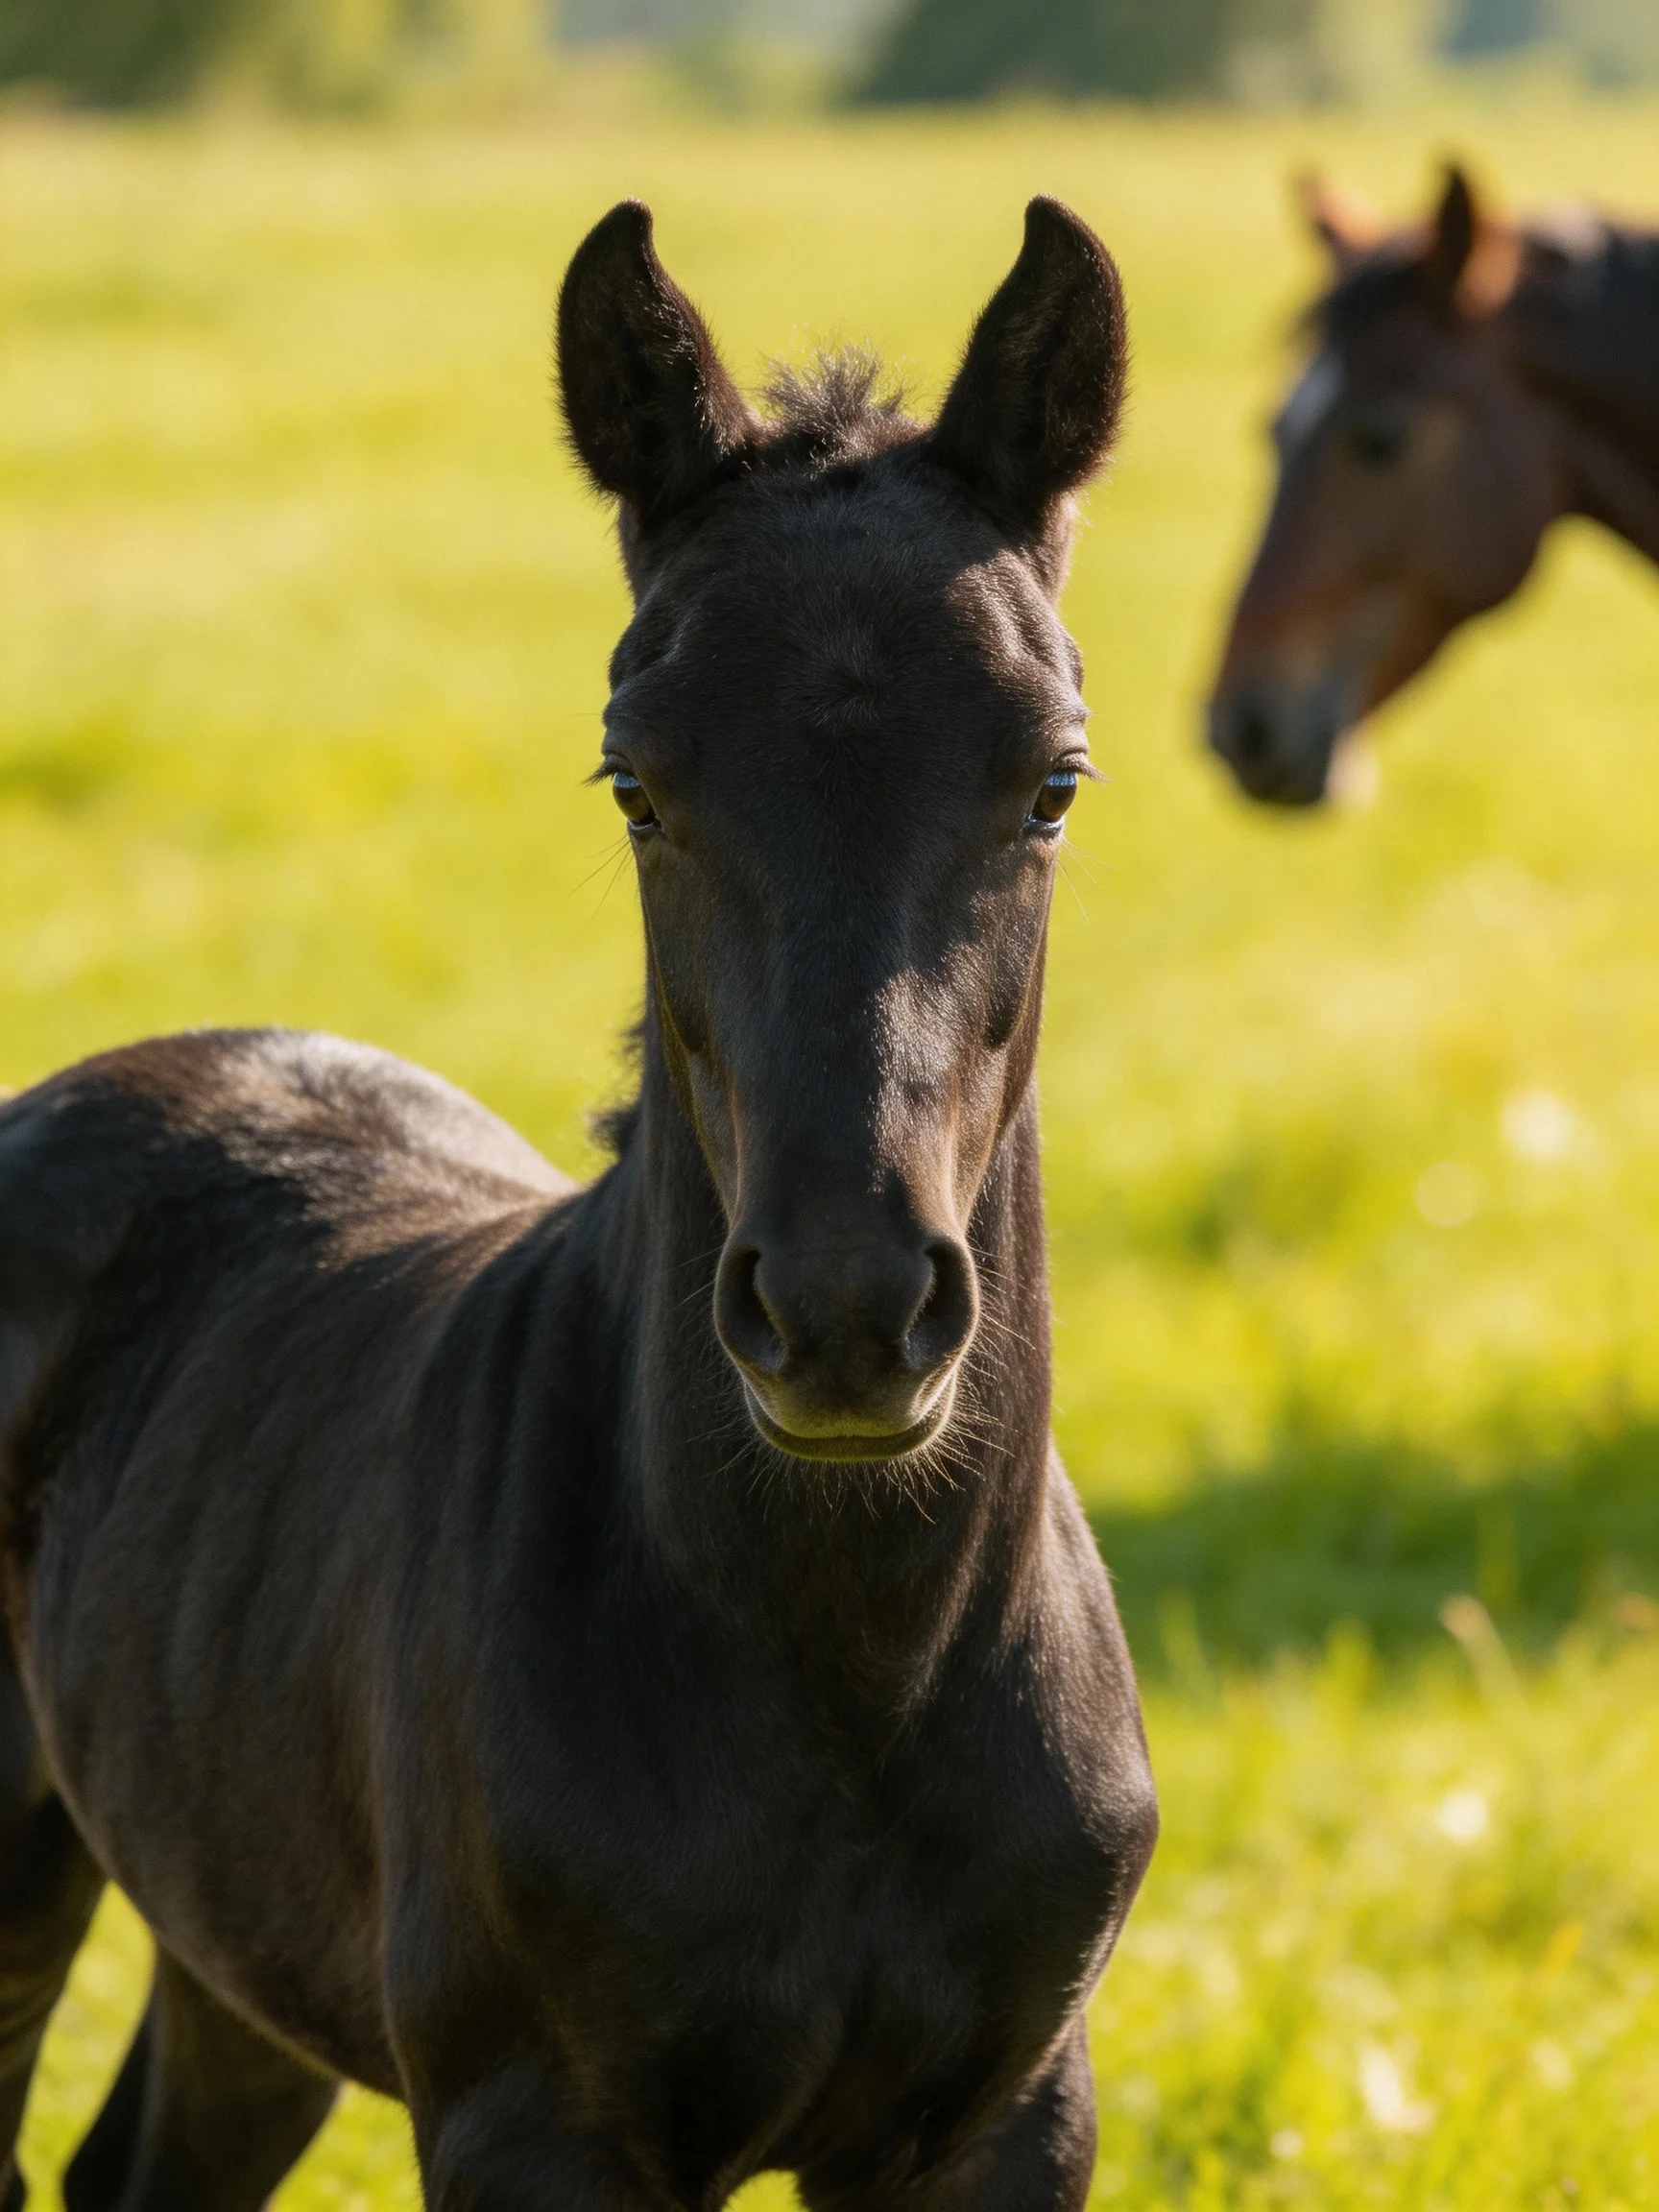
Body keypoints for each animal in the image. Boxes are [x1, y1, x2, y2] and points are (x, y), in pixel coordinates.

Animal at [0, 198, 1156, 2211]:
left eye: (1051, 783)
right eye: (635, 781)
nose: (846, 1312)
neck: (849, 1668)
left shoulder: (1008, 2114)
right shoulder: (533, 2116)